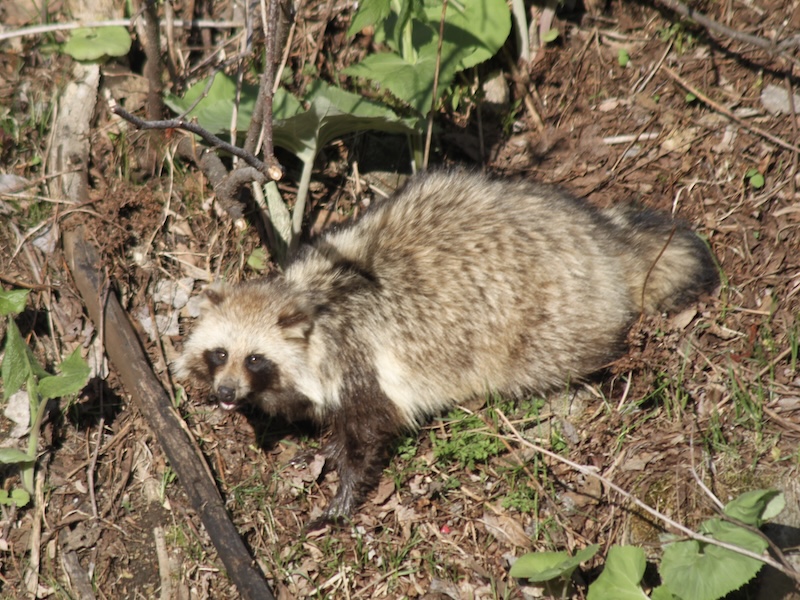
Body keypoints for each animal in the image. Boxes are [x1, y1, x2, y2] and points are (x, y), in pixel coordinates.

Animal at [177, 168, 720, 520]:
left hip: (550, 321)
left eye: (255, 359)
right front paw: (324, 446)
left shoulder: (359, 357)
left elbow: (371, 429)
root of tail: (606, 242)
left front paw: (343, 494)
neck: (312, 299)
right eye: (220, 354)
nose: (225, 393)